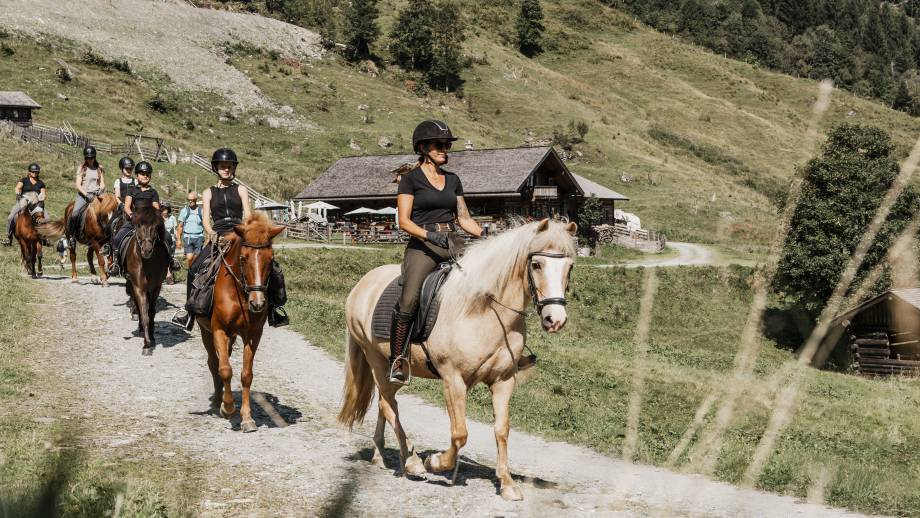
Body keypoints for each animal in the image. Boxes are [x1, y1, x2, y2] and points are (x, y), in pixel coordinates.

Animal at [122, 205, 171, 356]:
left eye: (155, 226)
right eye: (138, 226)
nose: (147, 250)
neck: (147, 262)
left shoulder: (156, 287)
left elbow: (151, 312)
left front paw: (152, 338)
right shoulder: (139, 287)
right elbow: (144, 313)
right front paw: (147, 344)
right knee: (138, 306)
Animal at [200, 213, 284, 436]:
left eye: (270, 259)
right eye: (244, 258)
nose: (258, 303)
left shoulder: (253, 334)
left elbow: (246, 375)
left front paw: (247, 418)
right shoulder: (218, 330)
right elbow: (225, 369)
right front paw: (228, 408)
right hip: (206, 332)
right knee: (213, 362)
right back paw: (217, 400)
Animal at [338, 220, 576, 504]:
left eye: (570, 266)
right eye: (537, 264)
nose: (555, 319)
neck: (485, 310)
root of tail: (362, 284)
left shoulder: (503, 380)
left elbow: (502, 429)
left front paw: (507, 483)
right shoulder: (453, 380)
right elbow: (460, 433)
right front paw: (436, 462)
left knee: (386, 405)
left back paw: (379, 455)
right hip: (377, 360)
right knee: (388, 405)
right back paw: (412, 460)